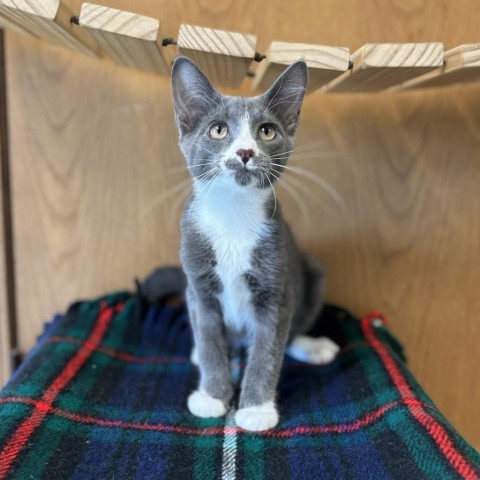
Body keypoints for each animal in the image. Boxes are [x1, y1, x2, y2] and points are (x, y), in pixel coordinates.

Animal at [171, 57, 340, 432]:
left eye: (266, 131)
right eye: (218, 130)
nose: (245, 152)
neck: (233, 215)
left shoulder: (276, 286)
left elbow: (269, 347)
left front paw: (256, 408)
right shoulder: (198, 285)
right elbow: (209, 339)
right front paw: (213, 395)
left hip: (312, 272)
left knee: (292, 331)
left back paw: (312, 346)